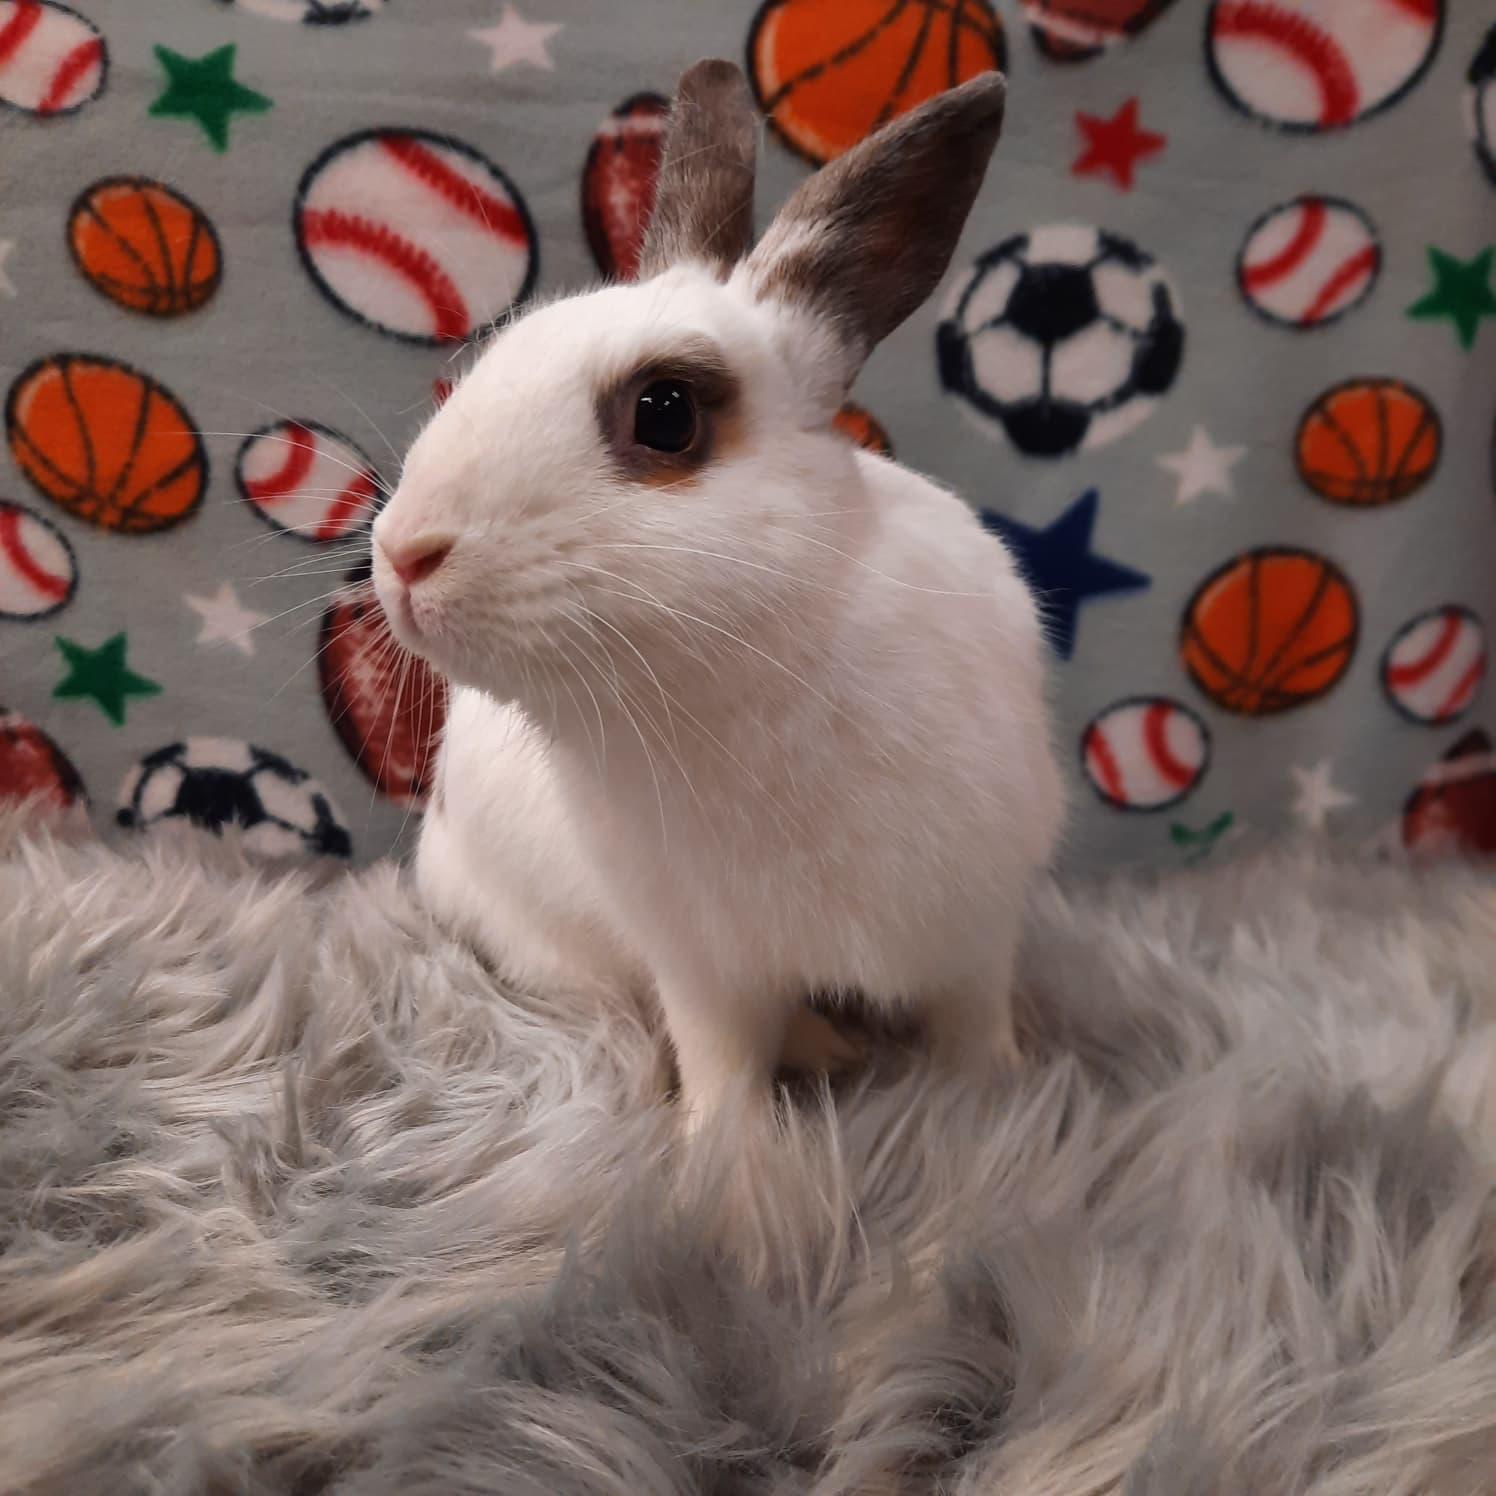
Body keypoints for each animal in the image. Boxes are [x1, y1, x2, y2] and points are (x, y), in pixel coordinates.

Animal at [372, 60, 1065, 1127]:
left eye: (666, 413)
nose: (403, 553)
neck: (759, 676)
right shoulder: (705, 965)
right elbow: (725, 1062)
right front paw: (728, 1153)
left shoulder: (977, 930)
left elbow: (975, 1029)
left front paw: (1002, 1106)